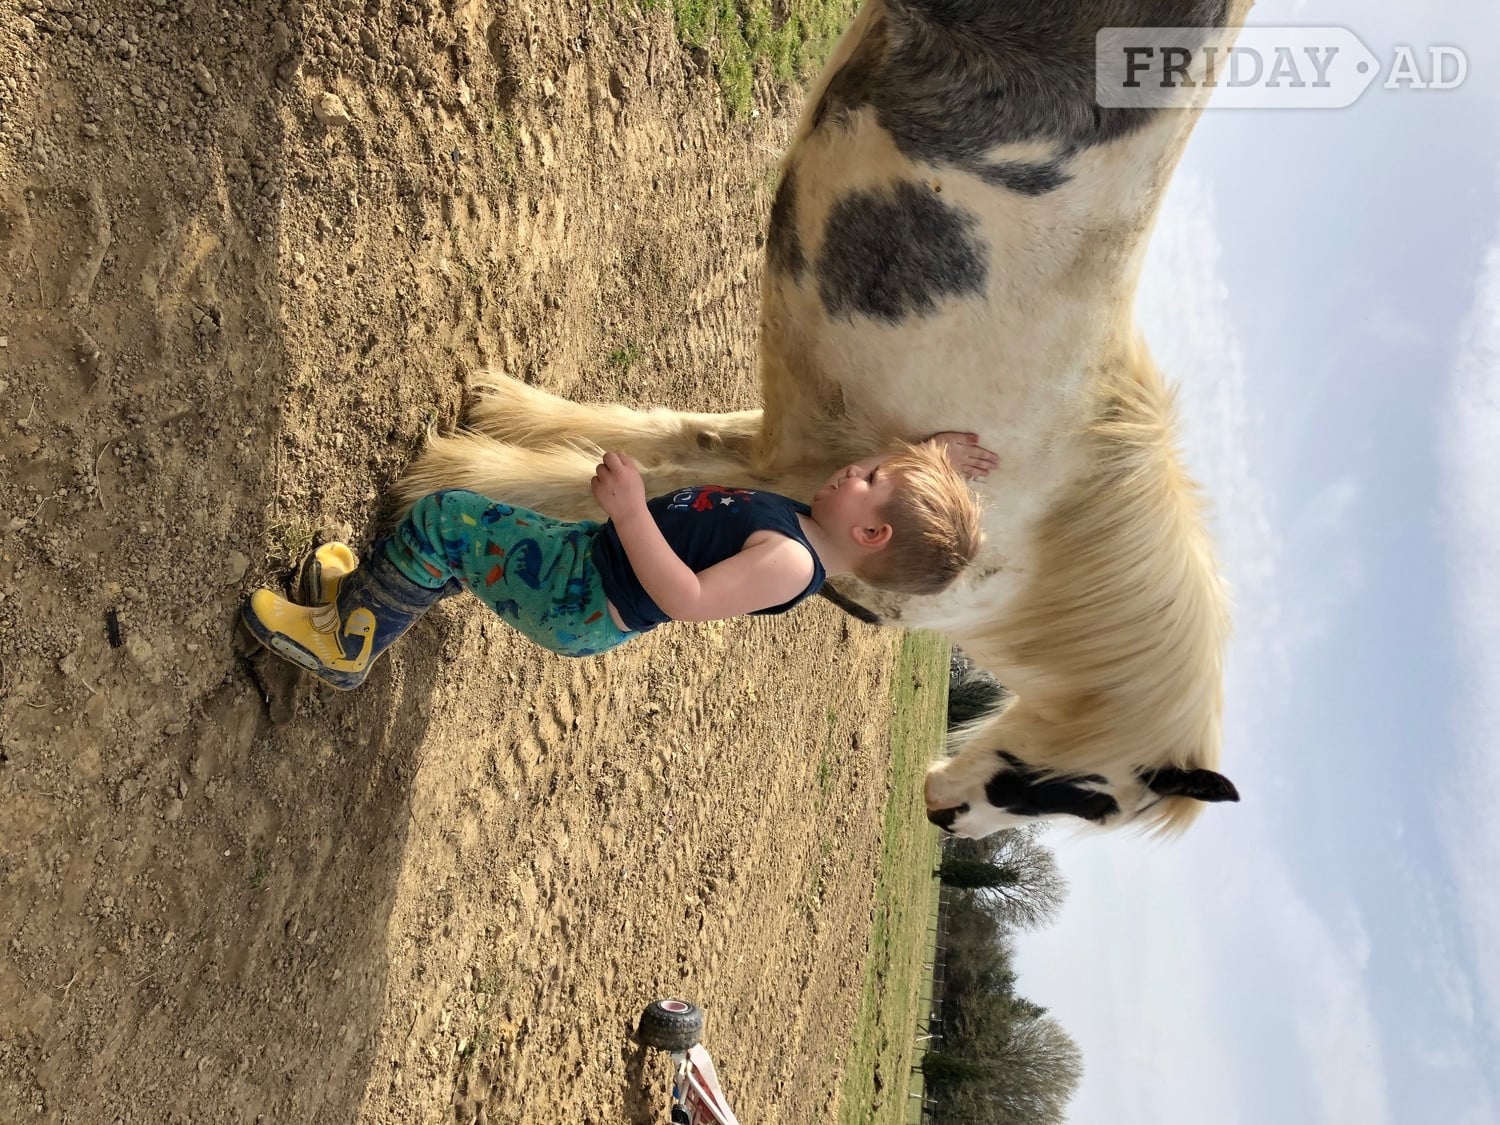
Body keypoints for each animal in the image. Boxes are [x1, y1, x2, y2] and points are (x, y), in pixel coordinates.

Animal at [396, 0, 1252, 838]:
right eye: (1088, 796)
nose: (944, 816)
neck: (1037, 538)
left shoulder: (797, 455)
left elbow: (669, 443)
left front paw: (499, 418)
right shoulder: (805, 479)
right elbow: (629, 481)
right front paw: (458, 471)